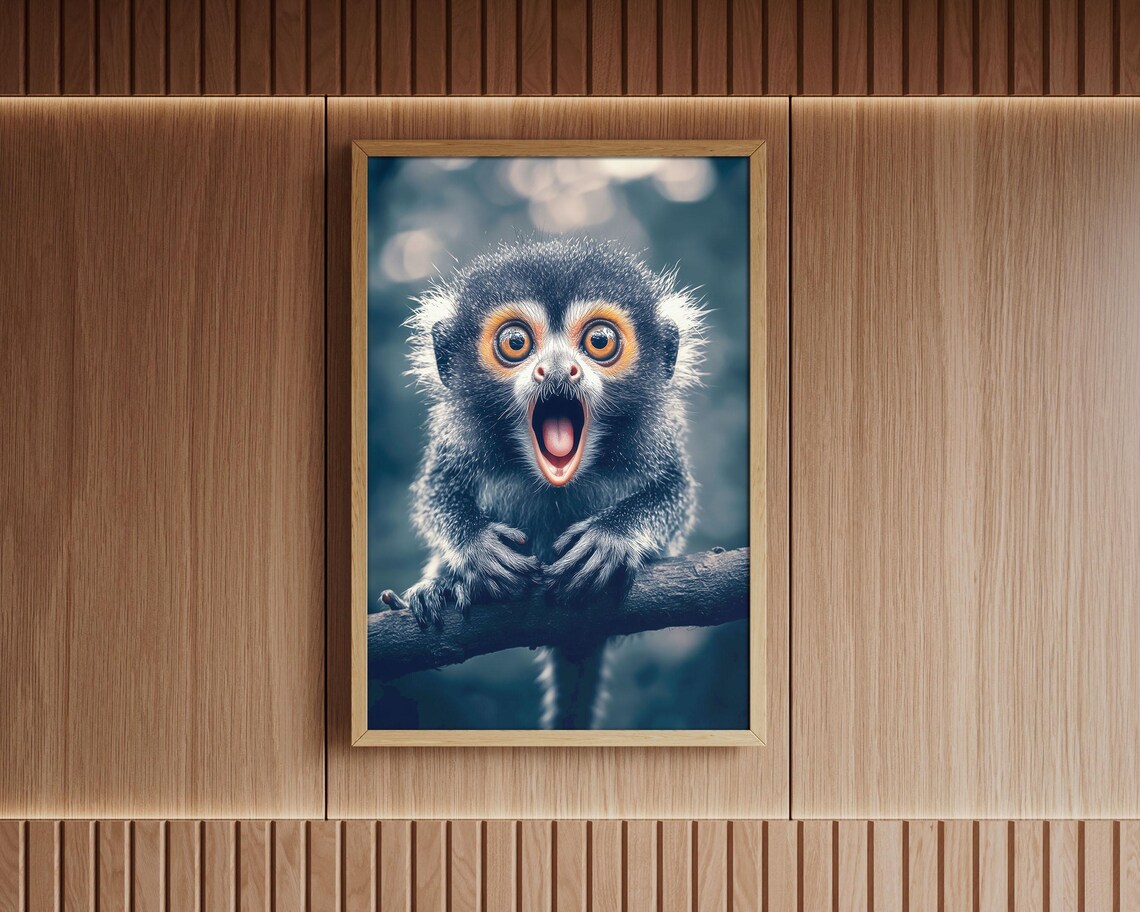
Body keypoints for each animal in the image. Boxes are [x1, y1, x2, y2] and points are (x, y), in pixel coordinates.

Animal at [383, 236, 706, 729]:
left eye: (598, 341)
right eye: (516, 343)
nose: (556, 370)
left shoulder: (655, 438)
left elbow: (674, 493)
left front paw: (611, 538)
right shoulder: (458, 440)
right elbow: (437, 493)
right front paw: (477, 549)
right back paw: (442, 587)